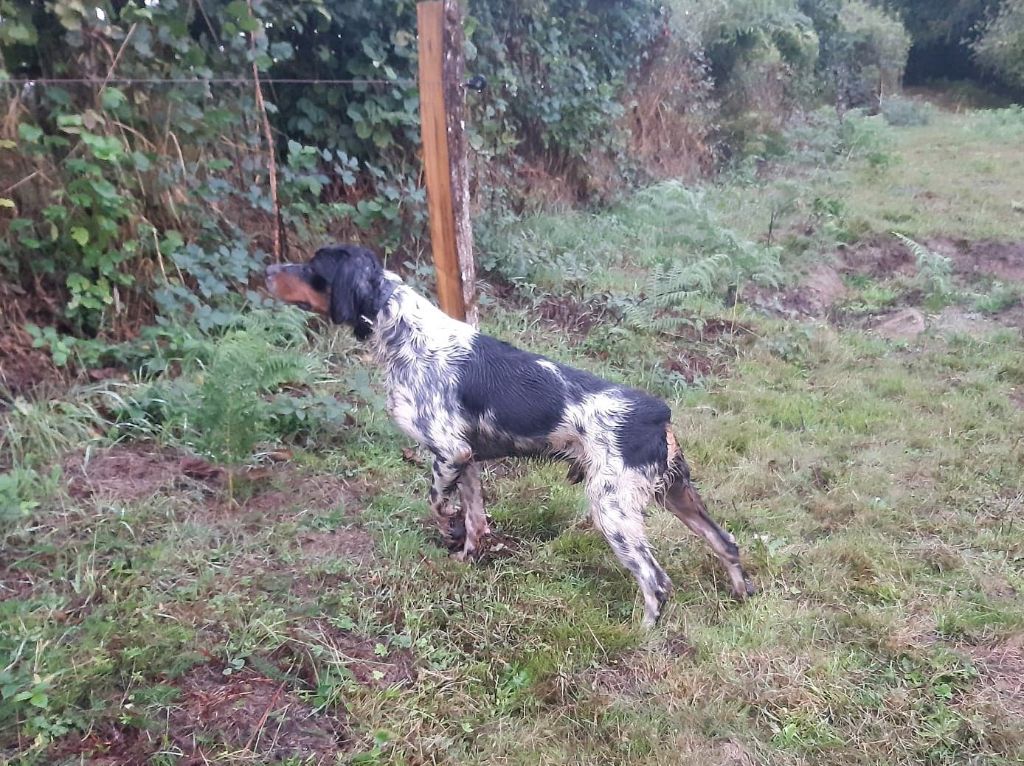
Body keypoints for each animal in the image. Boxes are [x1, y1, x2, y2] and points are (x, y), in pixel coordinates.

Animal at [264, 242, 753, 626]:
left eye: (313, 266)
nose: (267, 271)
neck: (405, 333)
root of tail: (658, 411)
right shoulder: (466, 459)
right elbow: (475, 518)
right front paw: (465, 557)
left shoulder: (448, 452)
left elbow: (437, 504)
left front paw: (448, 528)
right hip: (676, 493)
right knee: (726, 542)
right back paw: (742, 595)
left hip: (612, 509)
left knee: (657, 580)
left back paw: (640, 634)